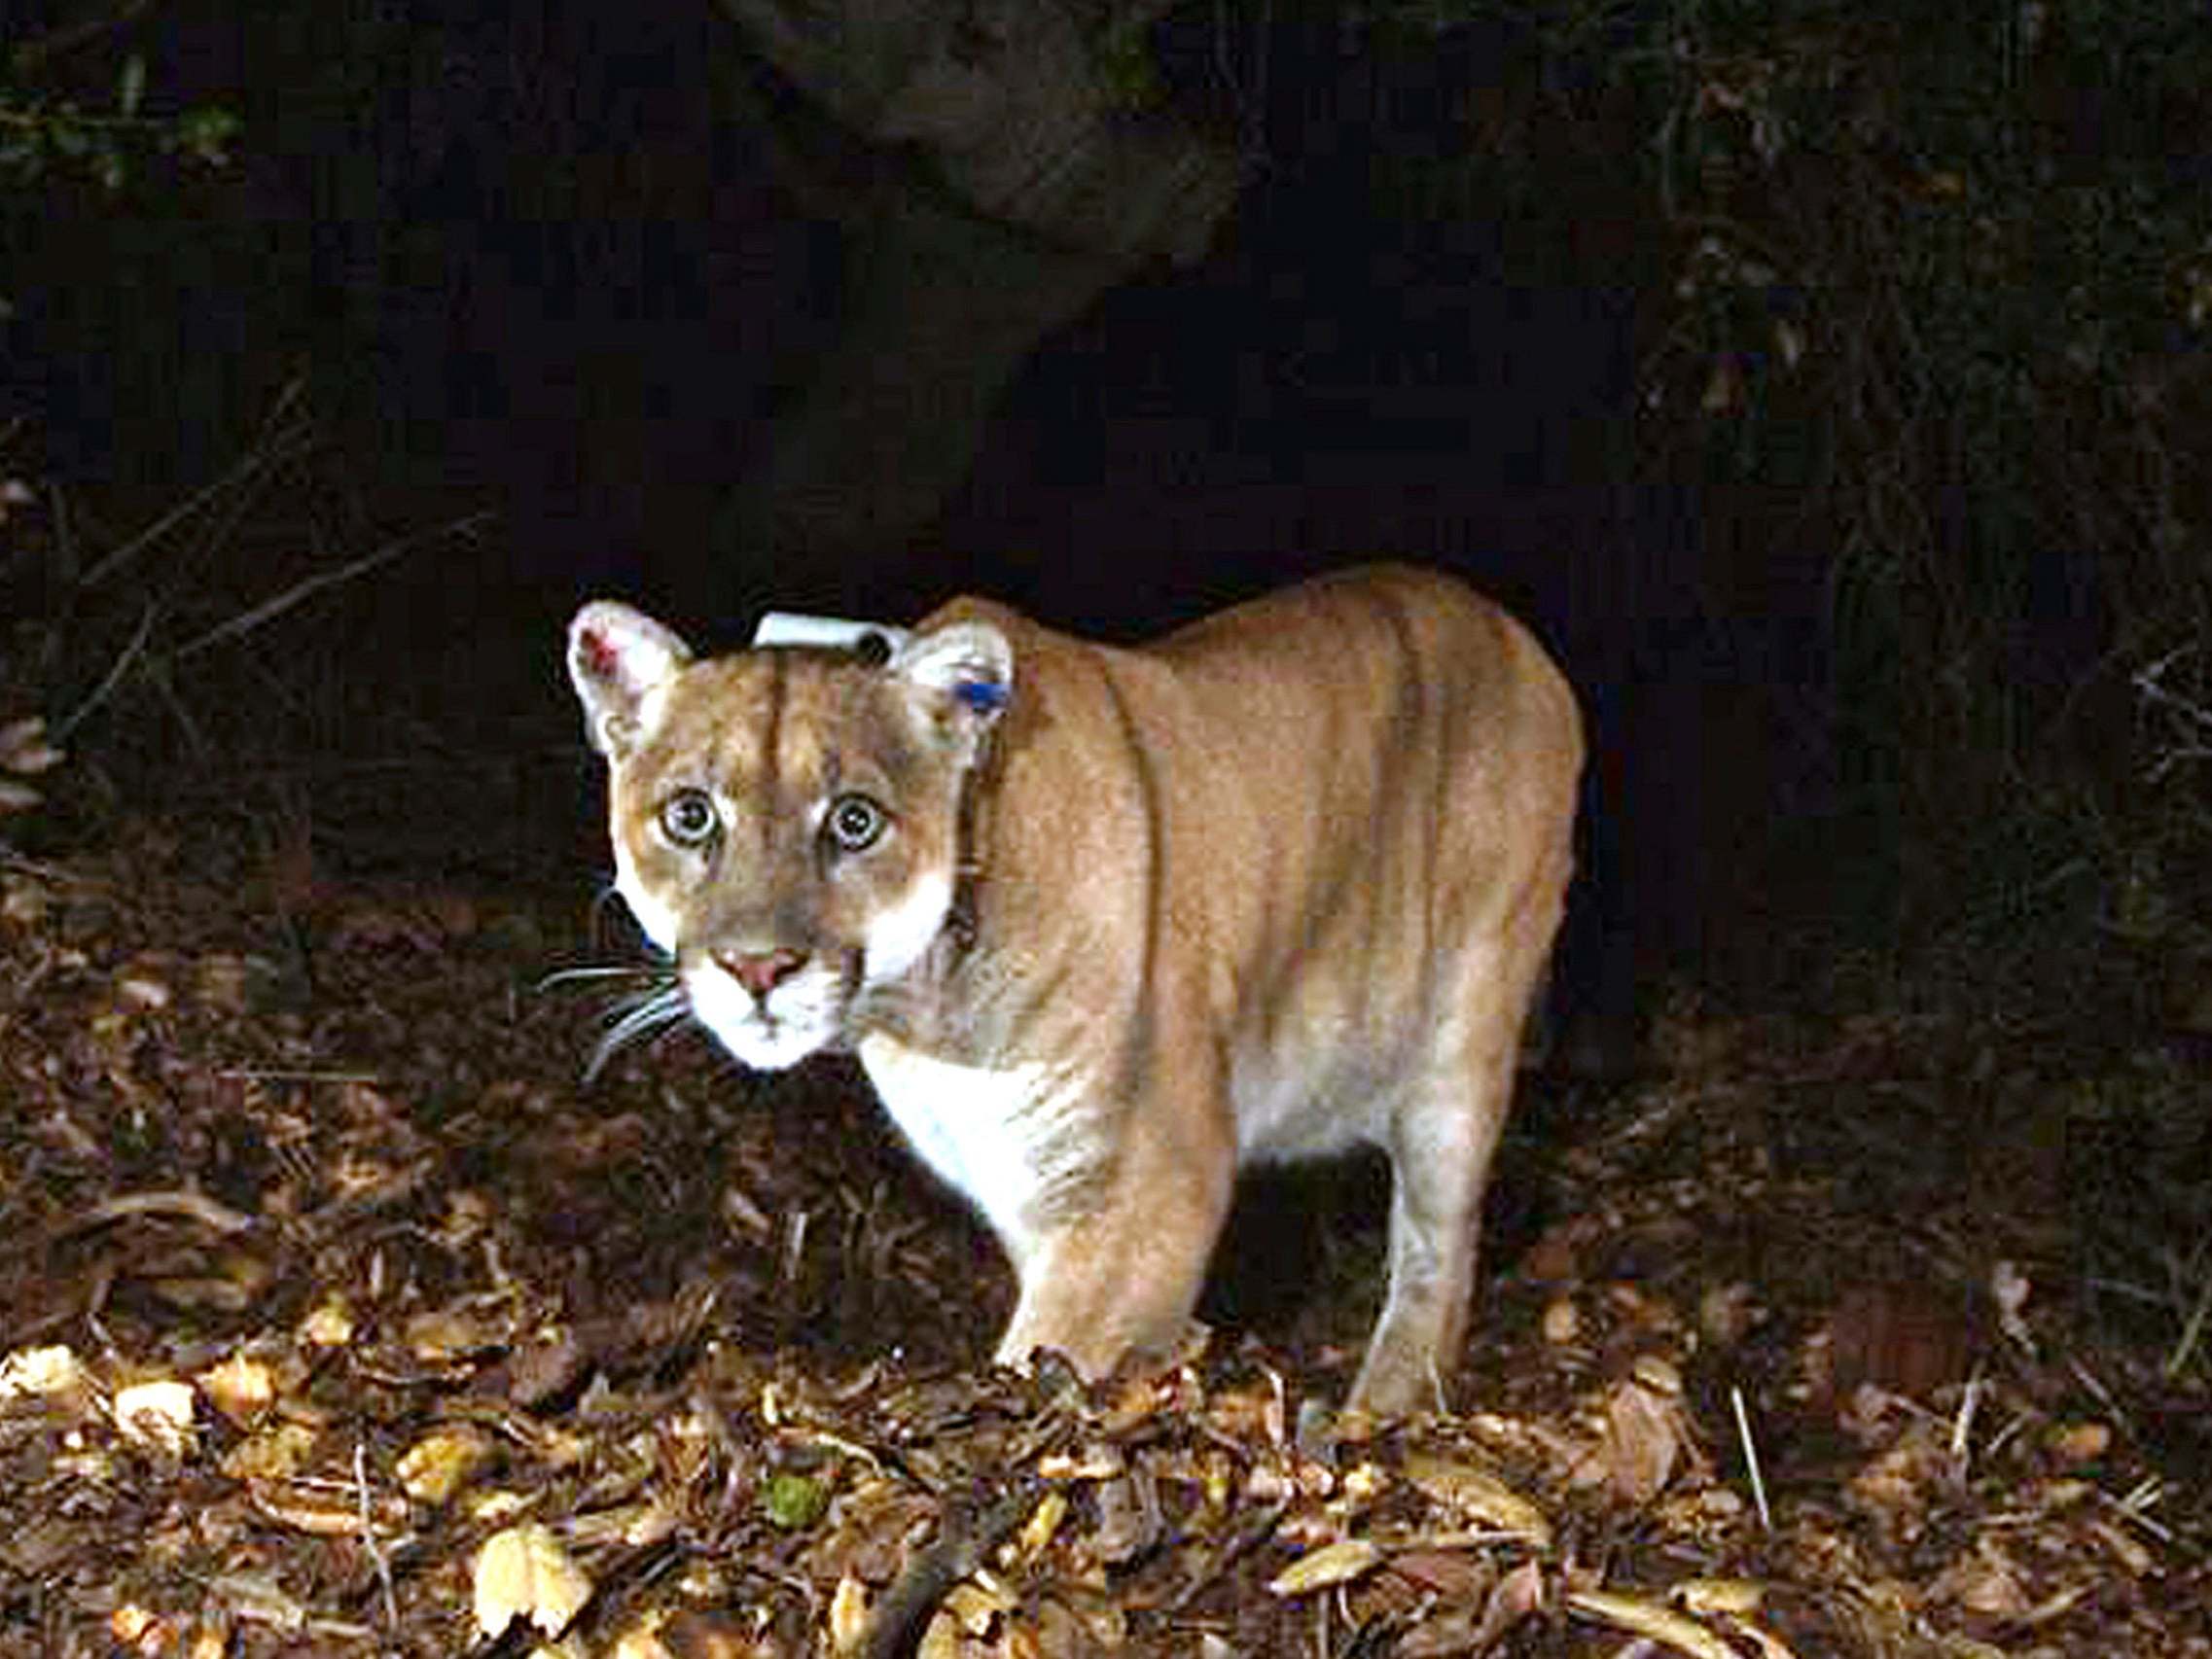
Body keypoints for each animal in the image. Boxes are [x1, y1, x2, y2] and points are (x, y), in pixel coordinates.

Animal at [561, 566, 1584, 1406]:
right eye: (691, 816)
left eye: (854, 821)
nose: (758, 967)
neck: (926, 1015)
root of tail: (1514, 631)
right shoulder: (1026, 1186)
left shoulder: (1148, 1188)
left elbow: (1048, 1356)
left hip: (1463, 1039)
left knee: (1439, 1252)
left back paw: (1385, 1404)